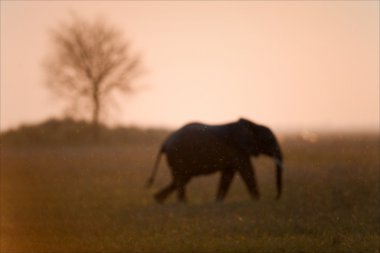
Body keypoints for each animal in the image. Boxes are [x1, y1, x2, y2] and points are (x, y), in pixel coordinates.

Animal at [147, 118, 284, 204]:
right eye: (270, 140)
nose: (275, 198)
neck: (252, 124)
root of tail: (165, 142)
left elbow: (228, 175)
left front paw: (217, 202)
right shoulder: (237, 150)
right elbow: (247, 171)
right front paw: (257, 201)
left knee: (180, 180)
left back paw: (159, 200)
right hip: (178, 156)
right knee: (181, 180)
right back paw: (182, 204)